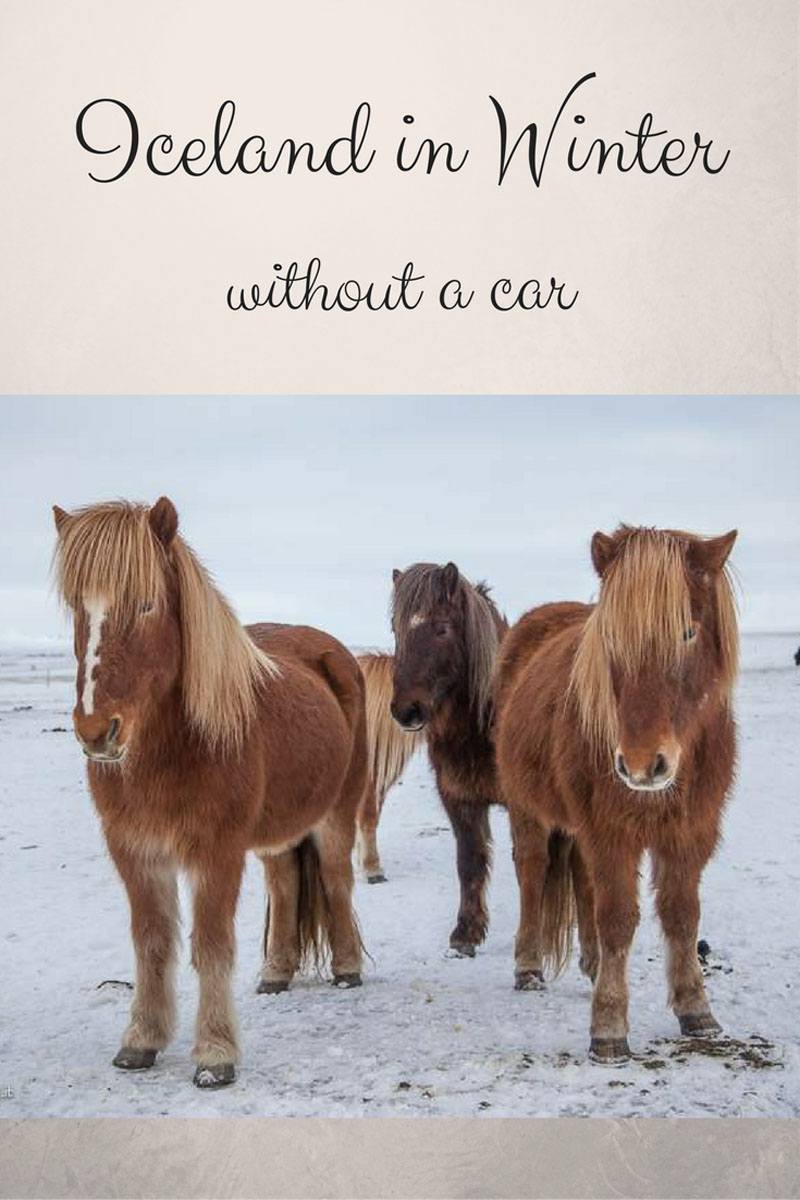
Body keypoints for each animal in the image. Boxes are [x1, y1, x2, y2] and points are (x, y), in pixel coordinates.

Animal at [52, 497, 367, 1089]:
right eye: (78, 608)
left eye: (147, 603)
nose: (96, 731)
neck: (170, 749)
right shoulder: (134, 850)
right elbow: (152, 942)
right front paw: (141, 1040)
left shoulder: (215, 851)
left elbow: (212, 945)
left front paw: (215, 1055)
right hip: (275, 834)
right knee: (286, 884)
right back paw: (276, 974)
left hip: (337, 814)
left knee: (337, 880)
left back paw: (347, 970)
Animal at [389, 562, 508, 955]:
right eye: (395, 628)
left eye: (442, 628)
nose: (406, 710)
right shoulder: (459, 798)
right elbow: (469, 862)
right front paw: (466, 932)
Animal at [494, 525, 739, 1062]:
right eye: (609, 636)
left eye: (688, 631)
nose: (644, 764)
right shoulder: (610, 833)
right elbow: (618, 918)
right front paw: (608, 1027)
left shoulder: (690, 834)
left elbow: (682, 916)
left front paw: (696, 1010)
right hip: (527, 809)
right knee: (532, 874)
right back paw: (528, 967)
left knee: (583, 883)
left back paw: (590, 965)